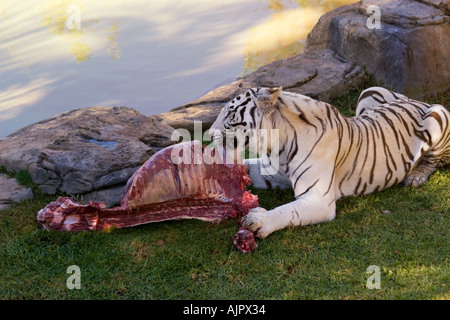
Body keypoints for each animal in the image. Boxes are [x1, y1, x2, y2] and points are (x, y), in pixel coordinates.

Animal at [209, 86, 450, 239]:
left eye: (230, 113)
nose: (210, 134)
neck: (277, 145)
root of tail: (416, 100)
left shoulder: (319, 199)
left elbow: (288, 211)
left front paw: (261, 220)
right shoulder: (272, 173)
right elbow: (247, 167)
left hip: (439, 115)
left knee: (436, 160)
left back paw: (416, 176)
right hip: (370, 91)